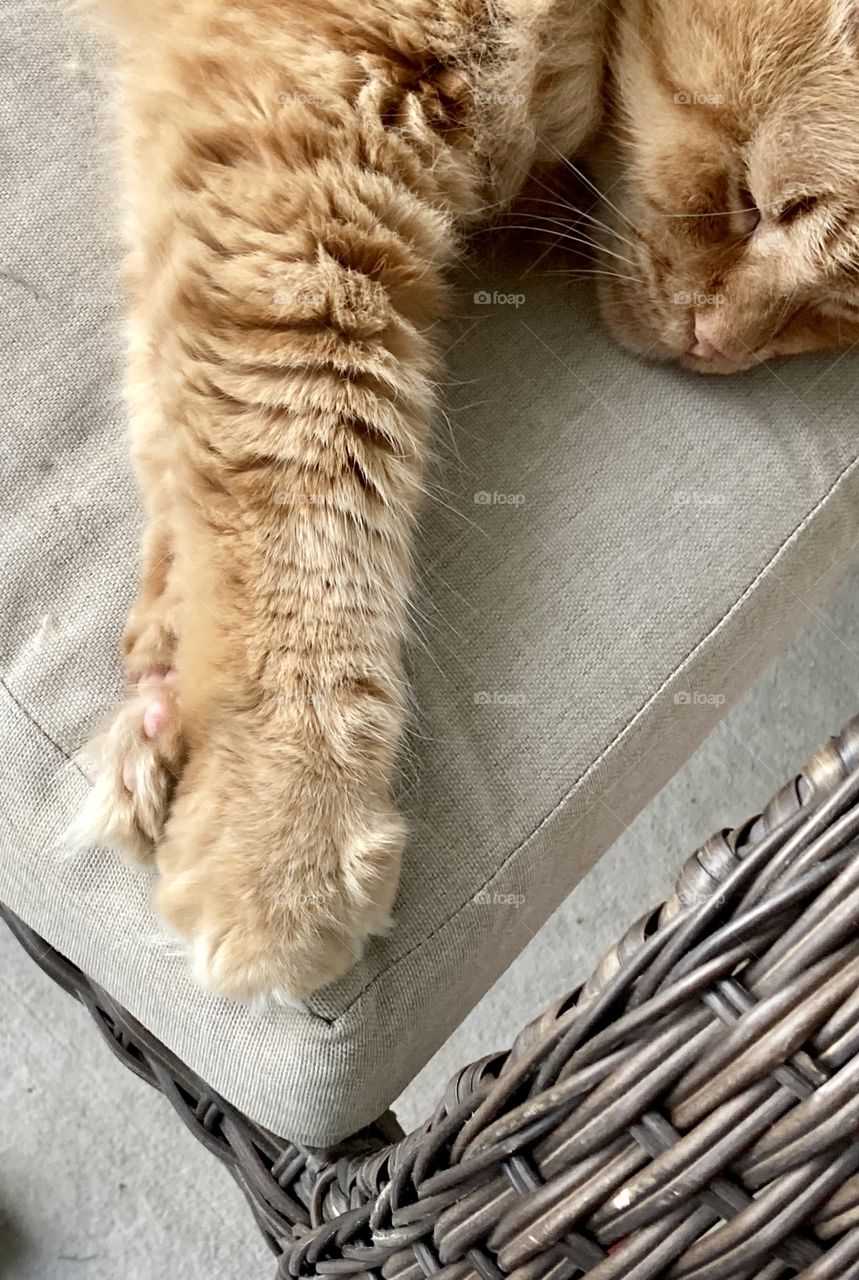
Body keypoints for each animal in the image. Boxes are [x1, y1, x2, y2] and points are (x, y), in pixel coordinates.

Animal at [73, 0, 859, 998]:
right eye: (756, 201)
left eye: (836, 310)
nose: (717, 347)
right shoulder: (304, 138)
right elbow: (302, 483)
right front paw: (283, 833)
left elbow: (191, 452)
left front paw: (166, 696)